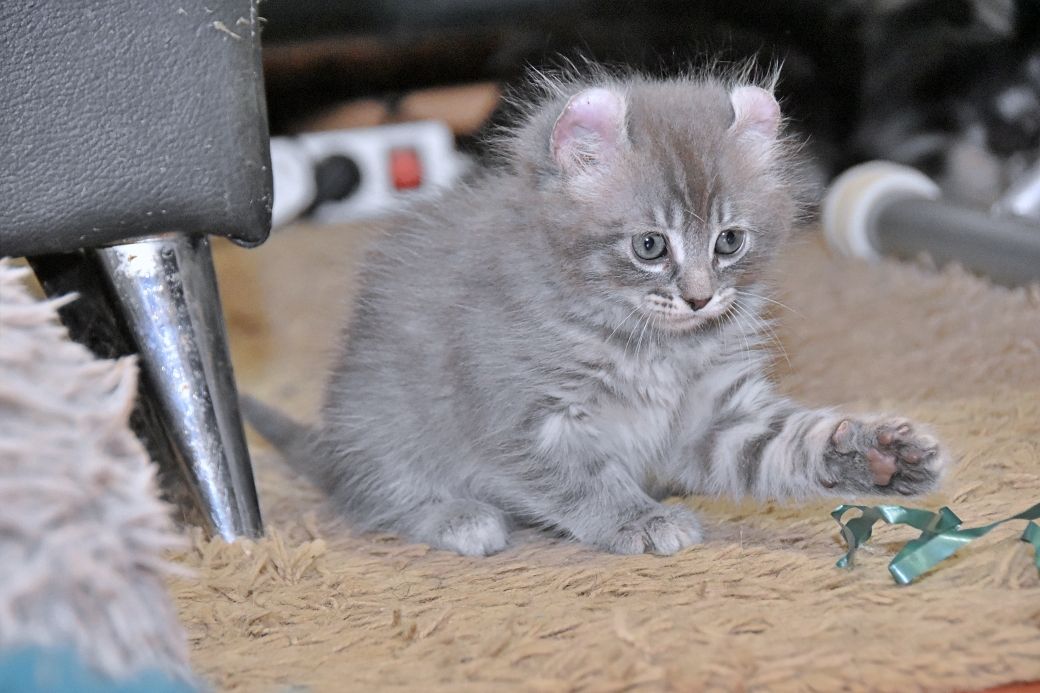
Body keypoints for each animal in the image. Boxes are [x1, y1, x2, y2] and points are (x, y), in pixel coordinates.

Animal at [243, 67, 950, 557]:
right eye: (650, 246)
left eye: (729, 242)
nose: (700, 297)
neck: (655, 344)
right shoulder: (525, 417)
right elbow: (585, 479)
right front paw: (640, 519)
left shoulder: (716, 416)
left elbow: (788, 443)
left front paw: (876, 456)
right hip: (383, 419)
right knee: (372, 495)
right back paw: (457, 517)